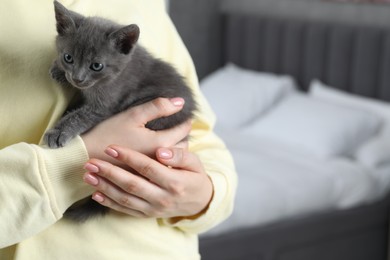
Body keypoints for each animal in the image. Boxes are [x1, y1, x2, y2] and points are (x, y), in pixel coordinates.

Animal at [46, 1, 197, 221]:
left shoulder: (105, 104)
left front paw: (59, 131)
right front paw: (59, 70)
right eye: (68, 58)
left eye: (96, 66)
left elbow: (81, 116)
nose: (77, 78)